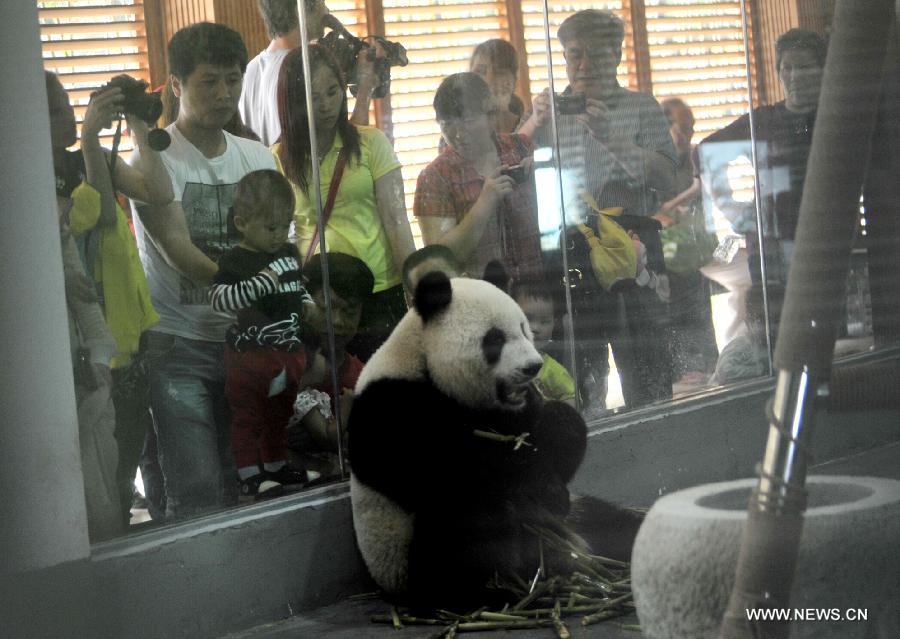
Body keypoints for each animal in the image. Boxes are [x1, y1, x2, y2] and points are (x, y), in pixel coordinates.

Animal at [346, 274, 640, 608]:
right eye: (494, 340)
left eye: (524, 329)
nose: (533, 367)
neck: (421, 357)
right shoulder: (392, 408)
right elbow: (449, 469)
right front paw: (534, 481)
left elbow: (556, 430)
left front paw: (554, 453)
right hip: (410, 558)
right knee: (469, 525)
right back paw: (496, 590)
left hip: (579, 519)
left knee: (610, 523)